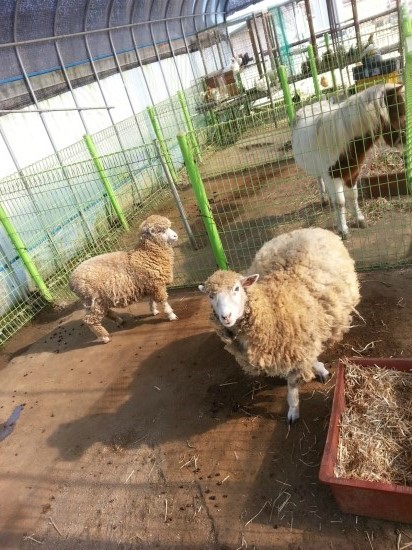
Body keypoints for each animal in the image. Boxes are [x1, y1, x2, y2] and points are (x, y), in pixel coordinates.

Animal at [69, 215, 178, 344]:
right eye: (160, 231)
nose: (175, 236)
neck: (146, 254)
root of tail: (71, 281)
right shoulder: (156, 285)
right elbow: (163, 301)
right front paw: (171, 315)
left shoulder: (150, 285)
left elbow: (151, 300)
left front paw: (153, 311)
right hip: (93, 300)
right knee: (89, 320)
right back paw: (104, 337)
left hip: (95, 301)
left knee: (105, 313)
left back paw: (119, 320)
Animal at [199, 227, 360, 423]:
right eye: (210, 296)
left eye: (236, 289)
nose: (225, 317)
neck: (272, 306)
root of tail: (303, 230)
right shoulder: (296, 344)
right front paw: (317, 368)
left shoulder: (294, 344)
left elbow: (292, 383)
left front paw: (293, 410)